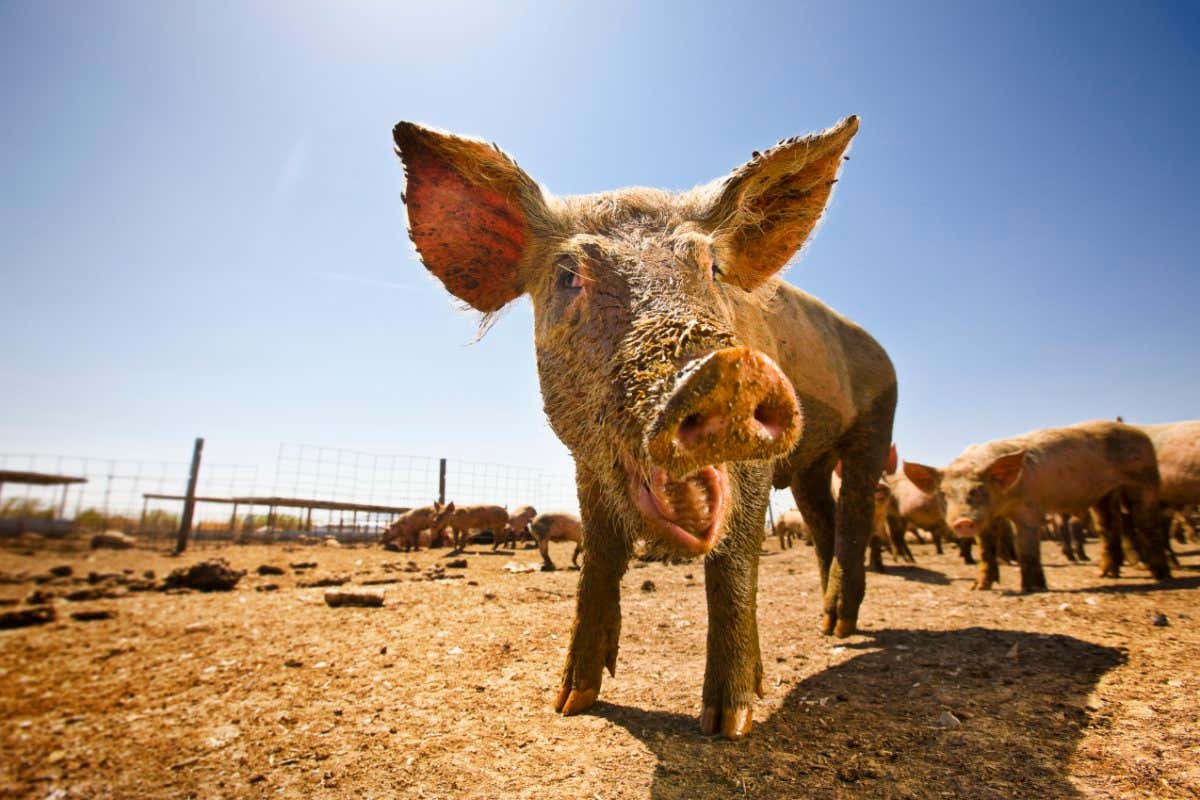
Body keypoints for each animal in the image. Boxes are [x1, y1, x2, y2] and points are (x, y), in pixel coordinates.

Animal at [393, 114, 896, 740]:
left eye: (711, 267)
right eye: (568, 275)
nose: (731, 370)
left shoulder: (755, 467)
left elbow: (732, 565)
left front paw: (729, 724)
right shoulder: (586, 461)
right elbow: (599, 559)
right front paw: (570, 701)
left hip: (876, 423)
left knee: (853, 514)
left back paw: (843, 629)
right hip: (810, 462)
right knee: (822, 517)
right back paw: (825, 626)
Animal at [903, 420, 1166, 592]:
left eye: (978, 490)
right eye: (944, 494)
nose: (963, 521)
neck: (1004, 502)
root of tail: (1139, 432)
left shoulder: (1029, 507)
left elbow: (1027, 547)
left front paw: (1031, 589)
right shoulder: (990, 517)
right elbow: (986, 549)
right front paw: (979, 587)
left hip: (1145, 479)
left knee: (1148, 523)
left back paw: (1160, 576)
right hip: (1105, 495)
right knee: (1109, 527)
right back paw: (1105, 575)